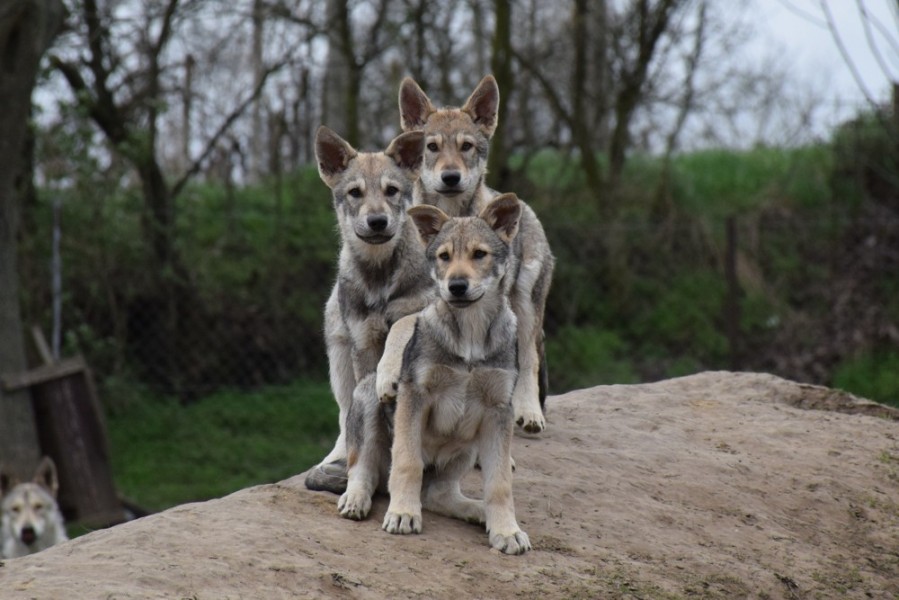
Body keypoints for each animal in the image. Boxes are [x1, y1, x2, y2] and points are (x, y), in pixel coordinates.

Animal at [303, 126, 435, 495]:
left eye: (391, 191)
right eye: (355, 193)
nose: (377, 222)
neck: (380, 277)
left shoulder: (427, 310)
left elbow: (400, 326)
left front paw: (388, 374)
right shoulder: (361, 343)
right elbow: (361, 411)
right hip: (337, 354)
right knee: (344, 414)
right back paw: (334, 458)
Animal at [341, 194, 531, 555]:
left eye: (479, 254)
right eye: (444, 257)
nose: (456, 286)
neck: (469, 336)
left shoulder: (498, 411)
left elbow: (500, 483)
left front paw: (507, 531)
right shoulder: (414, 396)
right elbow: (406, 463)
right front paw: (402, 515)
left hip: (468, 447)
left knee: (436, 494)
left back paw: (477, 511)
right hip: (369, 398)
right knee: (364, 469)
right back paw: (356, 499)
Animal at [377, 75, 554, 436]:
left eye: (466, 146)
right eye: (432, 147)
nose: (451, 177)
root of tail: (524, 207)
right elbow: (400, 329)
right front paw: (386, 375)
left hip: (525, 306)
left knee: (529, 359)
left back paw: (529, 411)